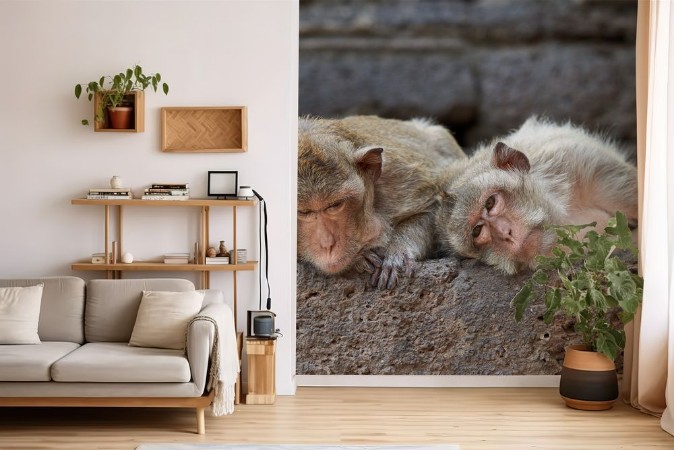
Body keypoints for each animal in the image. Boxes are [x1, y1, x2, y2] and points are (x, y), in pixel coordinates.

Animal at [298, 115, 466, 289]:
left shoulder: (397, 176)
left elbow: (432, 209)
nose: (327, 245)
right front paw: (361, 258)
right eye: (304, 212)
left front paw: (397, 249)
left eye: (335, 205)